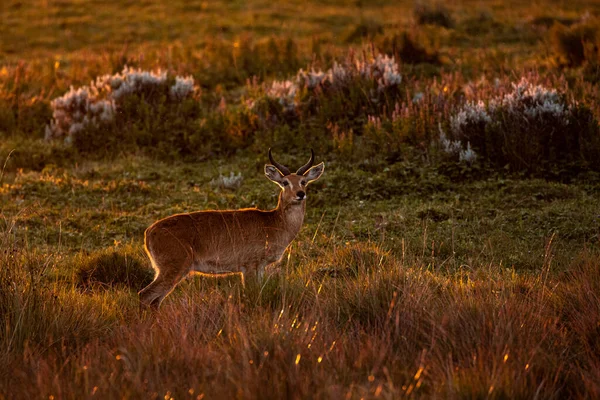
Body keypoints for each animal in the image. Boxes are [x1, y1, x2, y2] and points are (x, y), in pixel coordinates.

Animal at [138, 148, 324, 308]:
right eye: (285, 182)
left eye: (303, 181)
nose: (300, 194)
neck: (273, 223)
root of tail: (149, 232)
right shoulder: (249, 266)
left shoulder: (260, 267)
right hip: (174, 268)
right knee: (144, 295)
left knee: (155, 301)